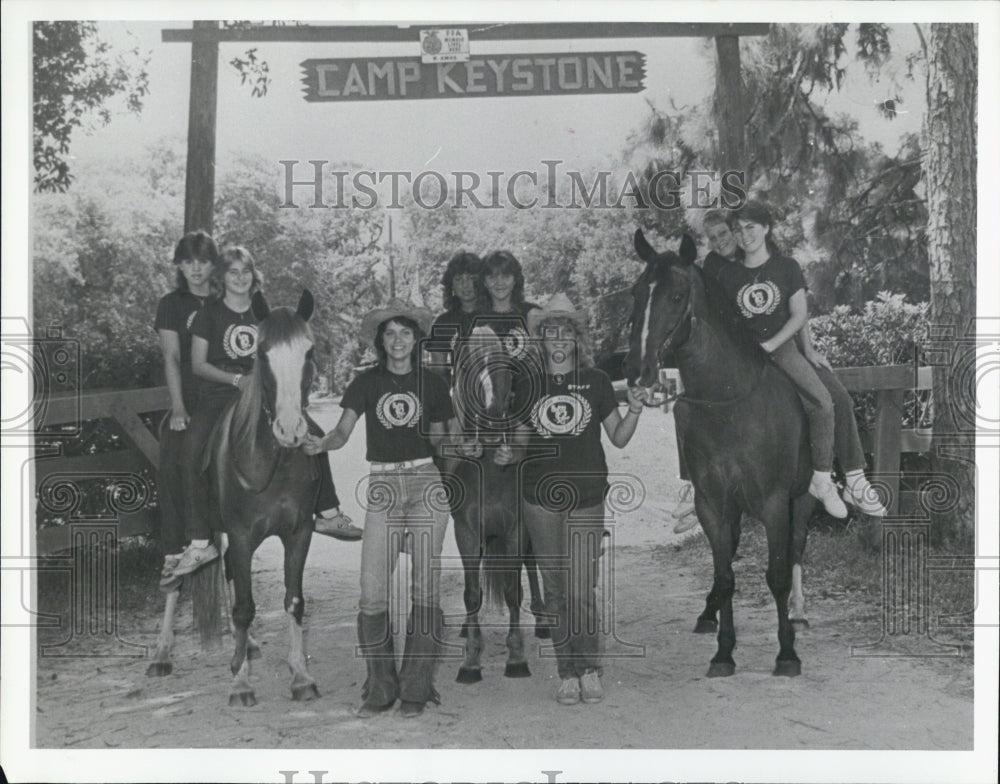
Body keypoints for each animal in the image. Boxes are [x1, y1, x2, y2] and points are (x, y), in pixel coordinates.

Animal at [146, 290, 320, 704]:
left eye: (308, 352)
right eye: (262, 354)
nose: (291, 429)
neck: (273, 459)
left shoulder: (299, 533)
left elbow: (293, 601)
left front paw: (300, 676)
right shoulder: (242, 536)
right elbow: (243, 607)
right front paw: (241, 684)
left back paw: (249, 646)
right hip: (174, 523)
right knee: (173, 579)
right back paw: (162, 655)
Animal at [450, 324, 548, 680]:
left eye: (508, 369)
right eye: (467, 366)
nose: (492, 427)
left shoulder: (516, 530)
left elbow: (511, 591)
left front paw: (516, 657)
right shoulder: (466, 532)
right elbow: (472, 593)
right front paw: (470, 660)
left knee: (531, 566)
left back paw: (543, 619)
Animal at [624, 230, 812, 676]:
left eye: (677, 296)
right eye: (637, 293)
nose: (638, 370)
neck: (729, 403)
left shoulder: (775, 501)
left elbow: (777, 574)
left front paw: (787, 652)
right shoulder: (713, 502)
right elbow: (725, 575)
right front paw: (724, 652)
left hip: (801, 498)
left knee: (797, 549)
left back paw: (797, 614)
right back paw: (709, 614)